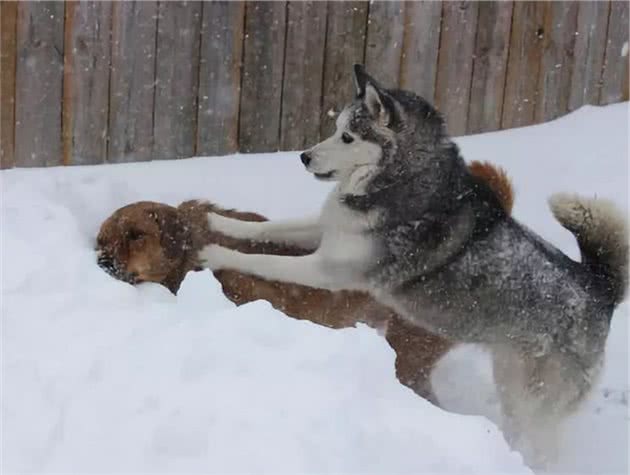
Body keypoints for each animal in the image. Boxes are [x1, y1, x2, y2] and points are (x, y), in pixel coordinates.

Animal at [201, 64, 628, 468]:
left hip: (533, 398)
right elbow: (271, 227)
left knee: (541, 443)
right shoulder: (327, 232)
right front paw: (220, 222)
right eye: (336, 128)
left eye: (348, 137)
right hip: (510, 377)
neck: (396, 180)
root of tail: (600, 289)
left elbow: (264, 260)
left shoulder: (329, 269)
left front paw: (218, 253)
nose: (303, 156)